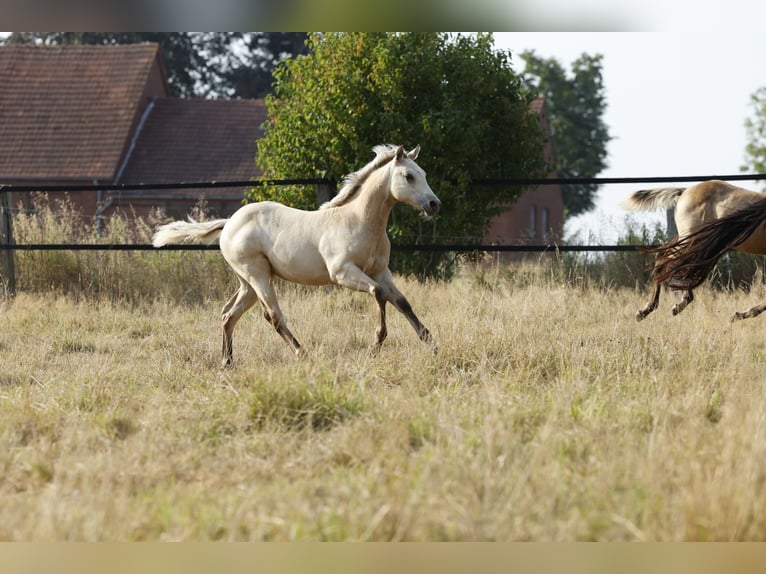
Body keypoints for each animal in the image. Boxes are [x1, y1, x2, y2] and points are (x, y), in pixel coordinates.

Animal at [152, 144, 441, 367]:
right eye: (408, 176)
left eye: (424, 174)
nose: (434, 204)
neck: (359, 221)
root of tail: (229, 223)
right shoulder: (343, 273)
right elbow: (378, 294)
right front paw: (376, 344)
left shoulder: (380, 271)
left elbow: (402, 302)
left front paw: (433, 343)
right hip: (257, 276)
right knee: (273, 315)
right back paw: (302, 353)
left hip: (248, 283)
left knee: (228, 314)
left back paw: (227, 362)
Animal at [623, 179, 766, 321]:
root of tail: (685, 191)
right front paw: (741, 315)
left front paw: (742, 314)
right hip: (691, 238)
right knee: (665, 259)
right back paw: (648, 310)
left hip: (692, 239)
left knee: (671, 259)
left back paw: (675, 304)